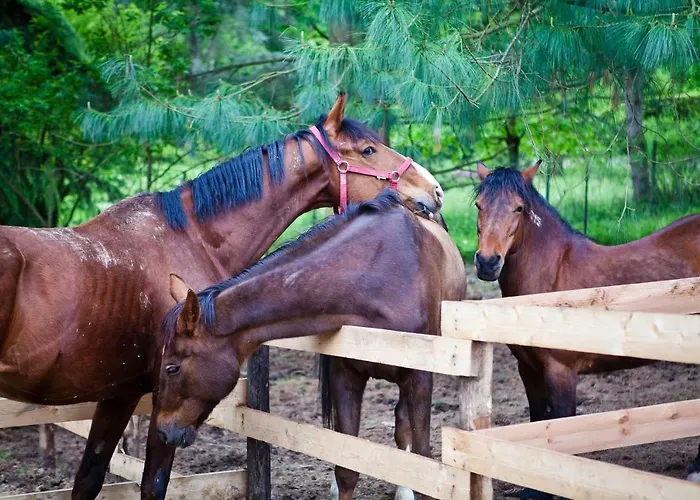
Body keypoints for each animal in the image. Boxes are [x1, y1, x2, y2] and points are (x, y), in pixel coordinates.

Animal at [154, 190, 466, 500]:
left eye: (172, 367)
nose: (163, 431)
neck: (377, 276)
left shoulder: (419, 378)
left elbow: (423, 464)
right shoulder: (345, 377)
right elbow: (347, 470)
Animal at [473, 161, 700, 499]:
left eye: (518, 208)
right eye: (479, 205)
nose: (487, 262)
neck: (552, 280)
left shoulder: (561, 372)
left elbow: (559, 426)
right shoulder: (529, 369)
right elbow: (538, 420)